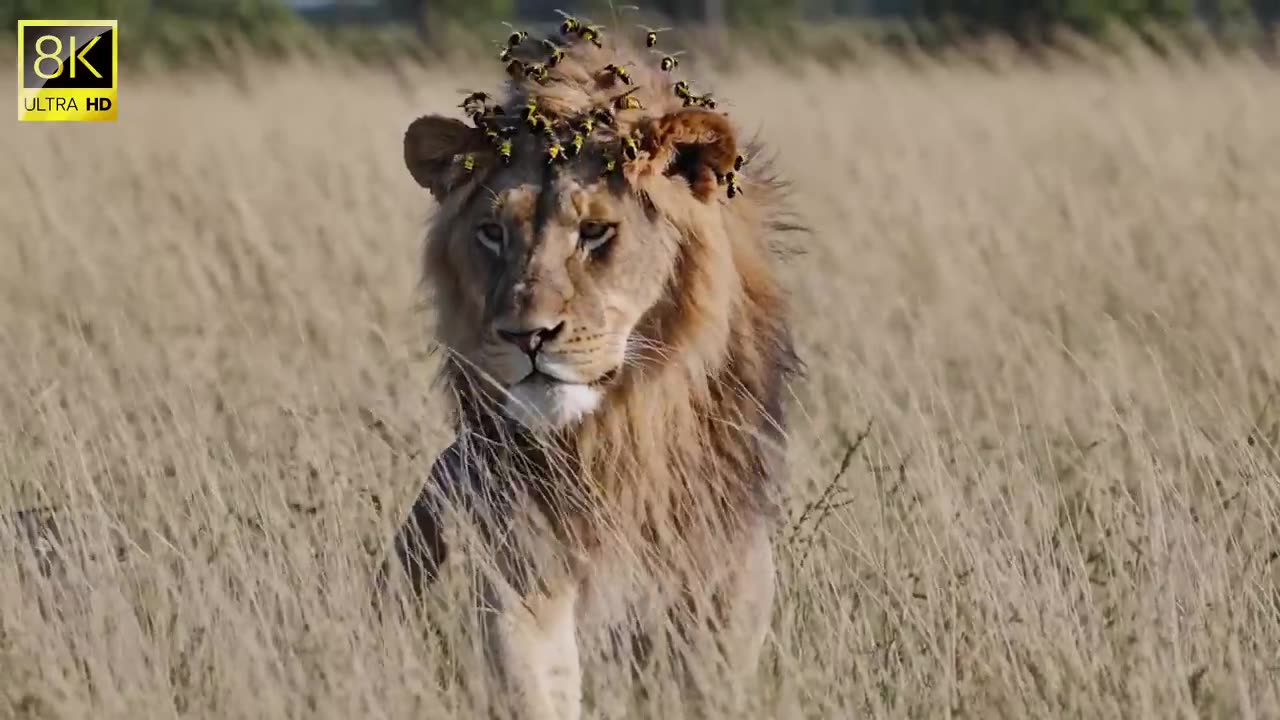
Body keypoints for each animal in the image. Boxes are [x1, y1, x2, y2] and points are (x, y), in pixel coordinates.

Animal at [380, 20, 804, 720]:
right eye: (492, 233)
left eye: (597, 233)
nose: (526, 336)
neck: (618, 441)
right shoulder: (518, 572)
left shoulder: (726, 592)